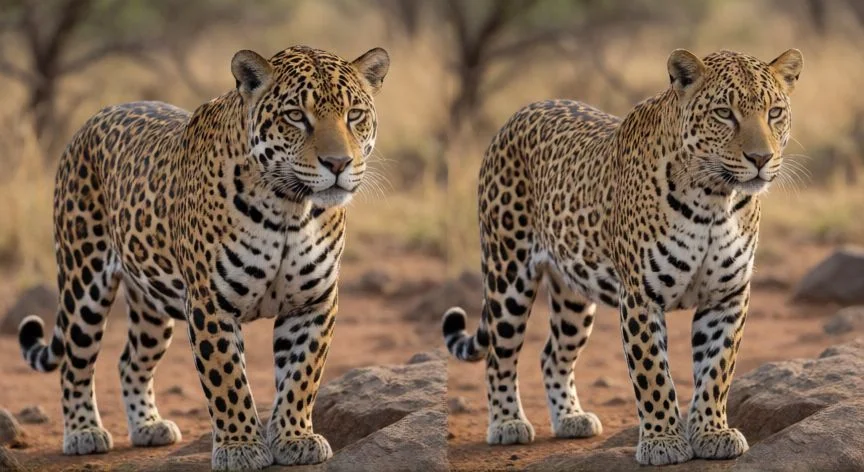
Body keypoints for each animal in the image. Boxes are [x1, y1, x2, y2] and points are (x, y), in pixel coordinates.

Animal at [17, 45, 389, 471]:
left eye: (354, 115)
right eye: (296, 115)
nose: (339, 164)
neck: (290, 209)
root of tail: (94, 118)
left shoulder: (314, 302)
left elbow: (301, 375)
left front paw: (295, 437)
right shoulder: (210, 303)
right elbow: (227, 379)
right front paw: (241, 447)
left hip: (151, 306)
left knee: (130, 360)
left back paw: (148, 425)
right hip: (84, 281)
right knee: (75, 361)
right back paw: (83, 432)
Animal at [442, 48, 803, 465]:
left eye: (774, 112)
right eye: (724, 113)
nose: (761, 158)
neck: (714, 199)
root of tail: (520, 111)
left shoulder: (727, 296)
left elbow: (717, 369)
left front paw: (712, 432)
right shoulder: (641, 297)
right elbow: (652, 372)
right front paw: (663, 441)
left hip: (573, 295)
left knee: (552, 354)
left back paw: (571, 418)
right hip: (507, 274)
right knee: (500, 355)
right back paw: (507, 423)